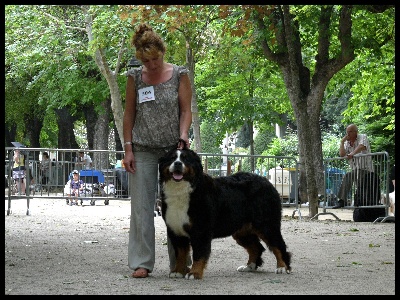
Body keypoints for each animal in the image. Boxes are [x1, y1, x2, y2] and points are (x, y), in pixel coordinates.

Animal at [158, 139, 292, 280]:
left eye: (185, 159)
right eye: (172, 158)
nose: (178, 164)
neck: (182, 191)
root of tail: (267, 182)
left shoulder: (201, 231)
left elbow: (198, 255)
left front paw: (194, 273)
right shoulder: (176, 230)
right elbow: (180, 254)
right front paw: (177, 271)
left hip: (266, 225)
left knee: (278, 245)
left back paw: (282, 267)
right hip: (242, 230)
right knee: (256, 247)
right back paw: (249, 266)